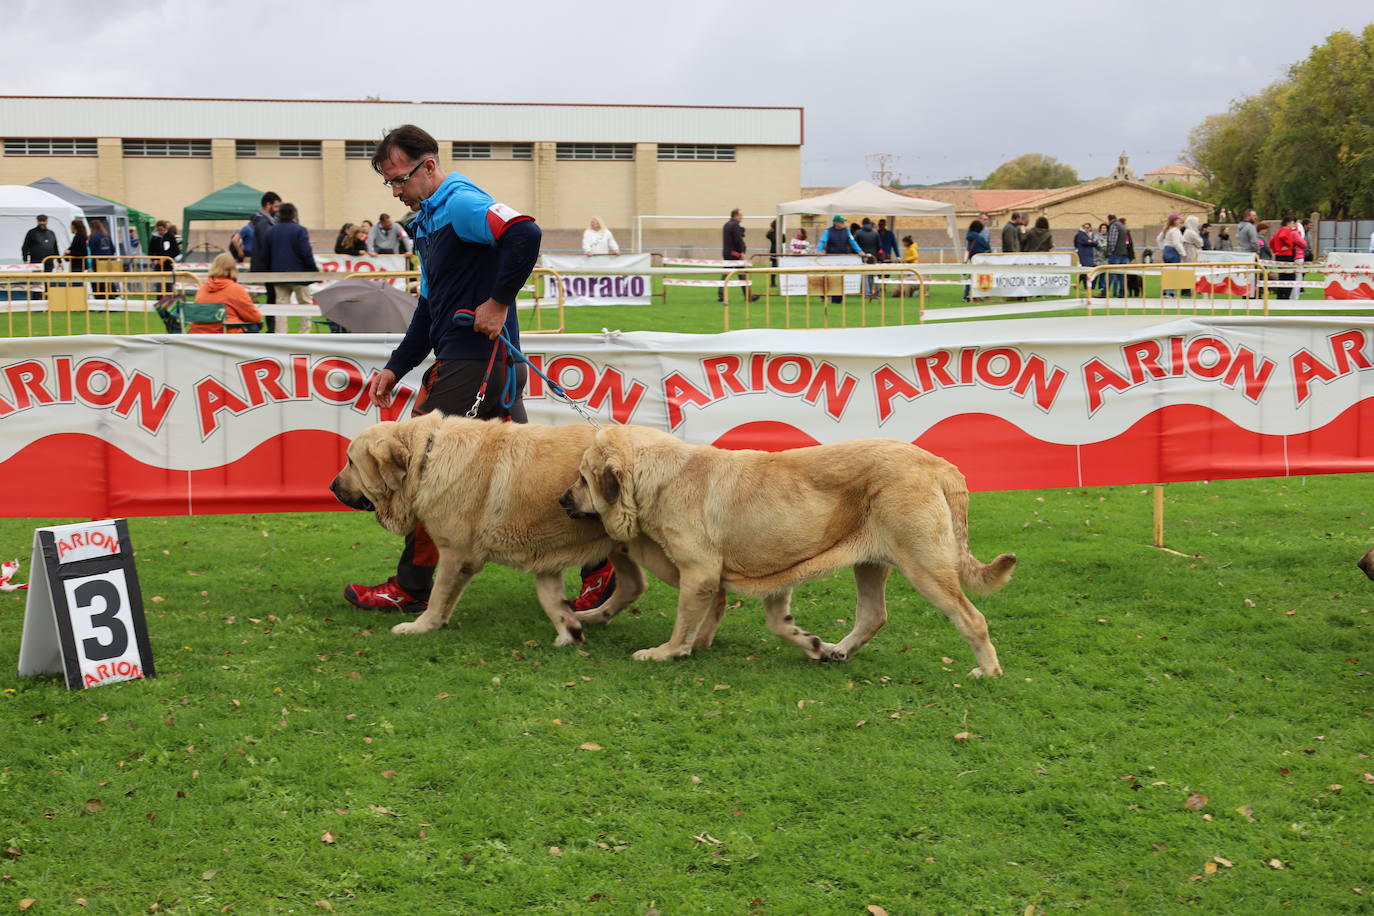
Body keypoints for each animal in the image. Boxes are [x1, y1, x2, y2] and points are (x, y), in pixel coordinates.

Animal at [560, 425, 1022, 678]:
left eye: (583, 478)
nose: (562, 500)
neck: (659, 476)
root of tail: (940, 465)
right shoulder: (777, 572)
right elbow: (777, 622)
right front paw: (812, 645)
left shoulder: (699, 573)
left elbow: (683, 623)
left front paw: (666, 652)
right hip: (871, 565)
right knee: (874, 614)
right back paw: (839, 650)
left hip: (925, 566)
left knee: (971, 618)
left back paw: (988, 670)